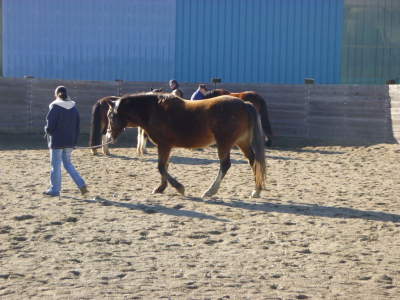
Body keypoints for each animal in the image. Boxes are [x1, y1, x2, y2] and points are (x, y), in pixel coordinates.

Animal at [106, 92, 266, 198]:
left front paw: (179, 188)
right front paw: (160, 188)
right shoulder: (165, 147)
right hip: (241, 141)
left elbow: (161, 167)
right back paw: (256, 190)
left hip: (224, 143)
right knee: (253, 160)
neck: (154, 111)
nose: (108, 136)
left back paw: (210, 191)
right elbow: (164, 167)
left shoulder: (164, 145)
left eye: (110, 116)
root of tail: (243, 104)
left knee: (225, 165)